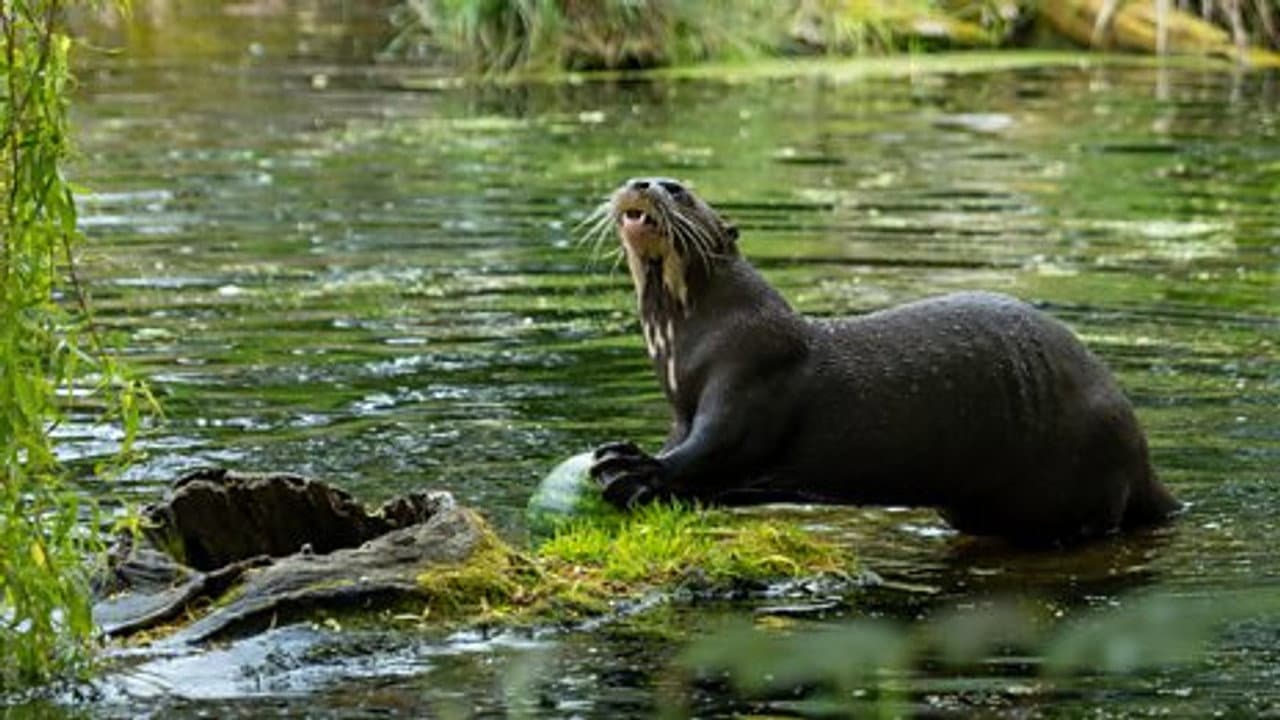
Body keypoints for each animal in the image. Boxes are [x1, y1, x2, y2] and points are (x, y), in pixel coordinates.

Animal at [582, 177, 1181, 545]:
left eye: (679, 191)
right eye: (644, 179)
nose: (642, 184)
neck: (690, 344)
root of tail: (1141, 456)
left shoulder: (752, 375)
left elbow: (715, 447)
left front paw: (634, 469)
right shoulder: (683, 406)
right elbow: (686, 444)